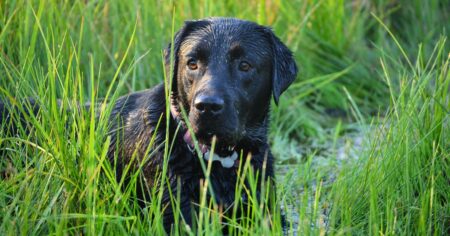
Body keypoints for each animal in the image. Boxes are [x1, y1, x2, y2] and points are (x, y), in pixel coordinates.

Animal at [0, 17, 298, 231]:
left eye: (245, 65)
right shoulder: (176, 217)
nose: (207, 106)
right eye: (192, 63)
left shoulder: (269, 214)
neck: (216, 160)